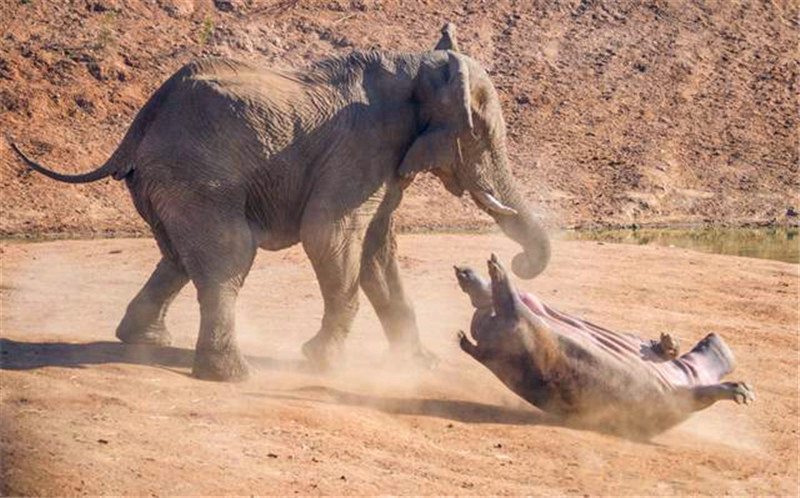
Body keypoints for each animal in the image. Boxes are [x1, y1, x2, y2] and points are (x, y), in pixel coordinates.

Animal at [10, 23, 552, 382]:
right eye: (479, 133)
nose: (515, 261)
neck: (416, 65)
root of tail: (140, 124)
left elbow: (378, 252)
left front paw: (422, 367)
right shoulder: (361, 148)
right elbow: (330, 236)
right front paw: (322, 363)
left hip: (171, 182)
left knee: (179, 258)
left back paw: (145, 343)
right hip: (197, 174)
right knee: (228, 256)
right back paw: (232, 375)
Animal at [454, 255, 752, 438]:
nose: (715, 338)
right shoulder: (680, 394)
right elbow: (704, 391)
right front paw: (742, 392)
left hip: (514, 331)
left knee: (495, 305)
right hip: (520, 326)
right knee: (506, 297)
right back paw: (492, 270)